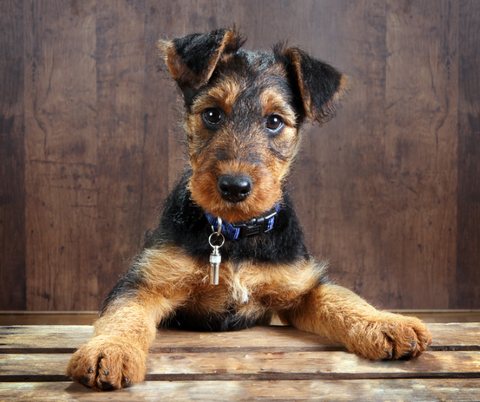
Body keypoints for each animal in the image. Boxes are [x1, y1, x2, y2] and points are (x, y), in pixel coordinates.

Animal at [66, 27, 432, 390]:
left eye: (275, 121)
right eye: (212, 113)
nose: (234, 187)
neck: (235, 233)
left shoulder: (302, 286)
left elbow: (343, 298)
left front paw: (387, 324)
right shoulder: (147, 282)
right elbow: (124, 315)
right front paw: (108, 351)